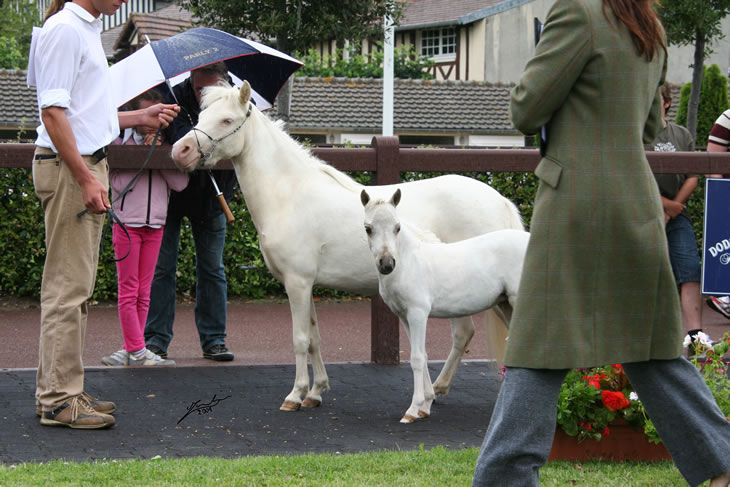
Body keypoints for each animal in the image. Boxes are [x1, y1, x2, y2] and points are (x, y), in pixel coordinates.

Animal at [360, 189, 528, 426]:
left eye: (397, 227)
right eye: (368, 228)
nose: (387, 264)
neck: (410, 263)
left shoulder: (418, 314)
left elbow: (417, 359)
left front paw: (412, 410)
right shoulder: (404, 316)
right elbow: (422, 354)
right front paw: (425, 406)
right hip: (506, 306)